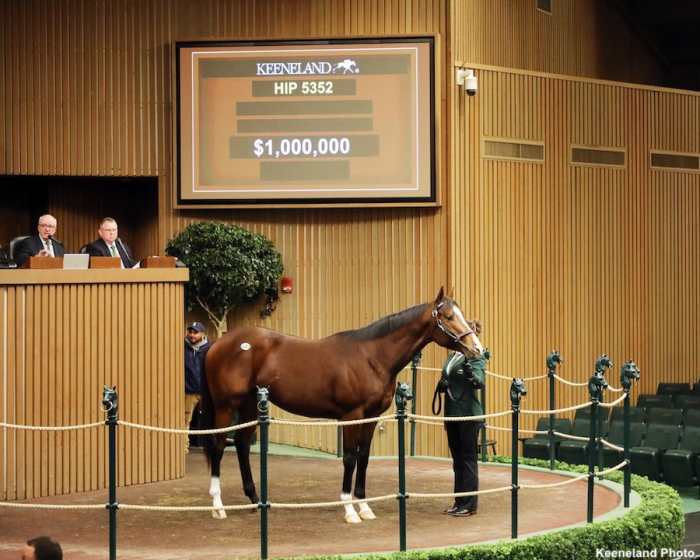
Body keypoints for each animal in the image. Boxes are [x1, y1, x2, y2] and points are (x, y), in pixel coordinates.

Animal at [199, 287, 485, 523]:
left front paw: (365, 507)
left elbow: (364, 457)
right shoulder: (351, 416)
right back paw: (218, 506)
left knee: (242, 445)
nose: (478, 349)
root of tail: (218, 343)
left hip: (249, 405)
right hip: (226, 407)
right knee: (217, 447)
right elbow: (349, 458)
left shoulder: (371, 417)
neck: (372, 358)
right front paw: (349, 510)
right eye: (448, 316)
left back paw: (253, 500)